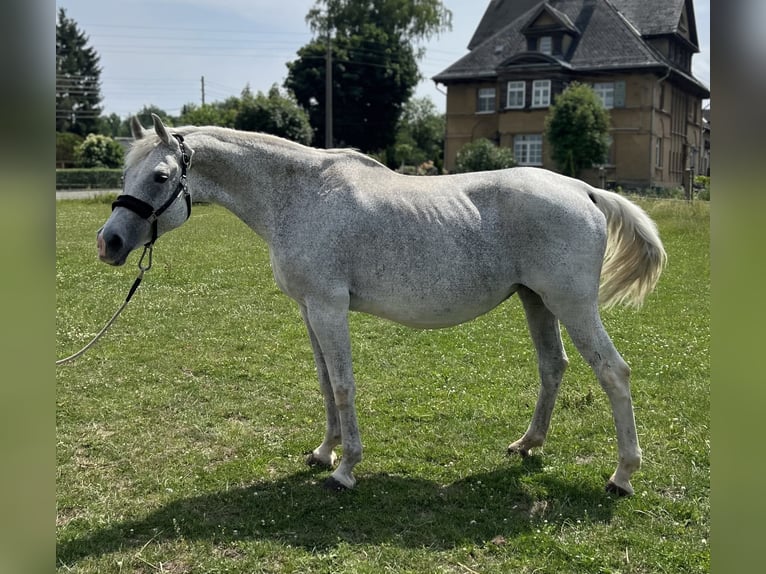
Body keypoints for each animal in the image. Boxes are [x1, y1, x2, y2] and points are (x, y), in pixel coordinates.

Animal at [96, 114, 666, 496]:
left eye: (161, 176)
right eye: (125, 175)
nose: (109, 243)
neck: (299, 195)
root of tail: (583, 189)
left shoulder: (329, 308)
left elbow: (344, 386)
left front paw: (345, 469)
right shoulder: (309, 310)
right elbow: (325, 383)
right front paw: (322, 452)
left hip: (573, 306)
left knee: (613, 372)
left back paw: (622, 475)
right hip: (538, 302)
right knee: (553, 367)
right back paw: (528, 445)